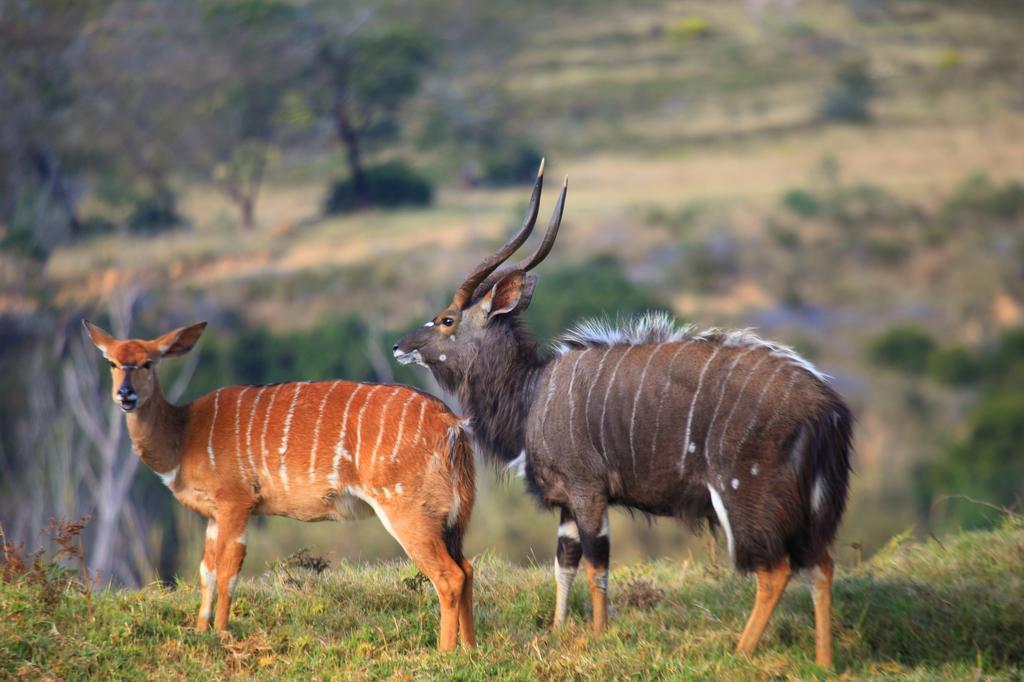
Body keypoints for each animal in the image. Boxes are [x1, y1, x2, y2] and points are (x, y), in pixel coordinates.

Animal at [82, 319, 475, 647]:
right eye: (112, 363)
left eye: (148, 363)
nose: (125, 395)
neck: (184, 435)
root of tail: (452, 423)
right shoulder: (213, 515)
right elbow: (206, 570)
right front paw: (199, 630)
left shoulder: (236, 503)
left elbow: (229, 569)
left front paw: (221, 633)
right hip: (451, 517)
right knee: (467, 569)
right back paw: (469, 649)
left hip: (407, 510)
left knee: (448, 576)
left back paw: (444, 653)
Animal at [393, 163, 856, 663]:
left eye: (447, 320)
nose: (399, 346)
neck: (531, 393)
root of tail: (829, 408)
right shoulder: (568, 500)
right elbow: (565, 561)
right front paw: (558, 630)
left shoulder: (588, 489)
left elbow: (597, 562)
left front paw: (597, 634)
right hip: (811, 508)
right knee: (821, 565)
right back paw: (824, 662)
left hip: (747, 498)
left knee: (775, 570)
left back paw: (740, 652)